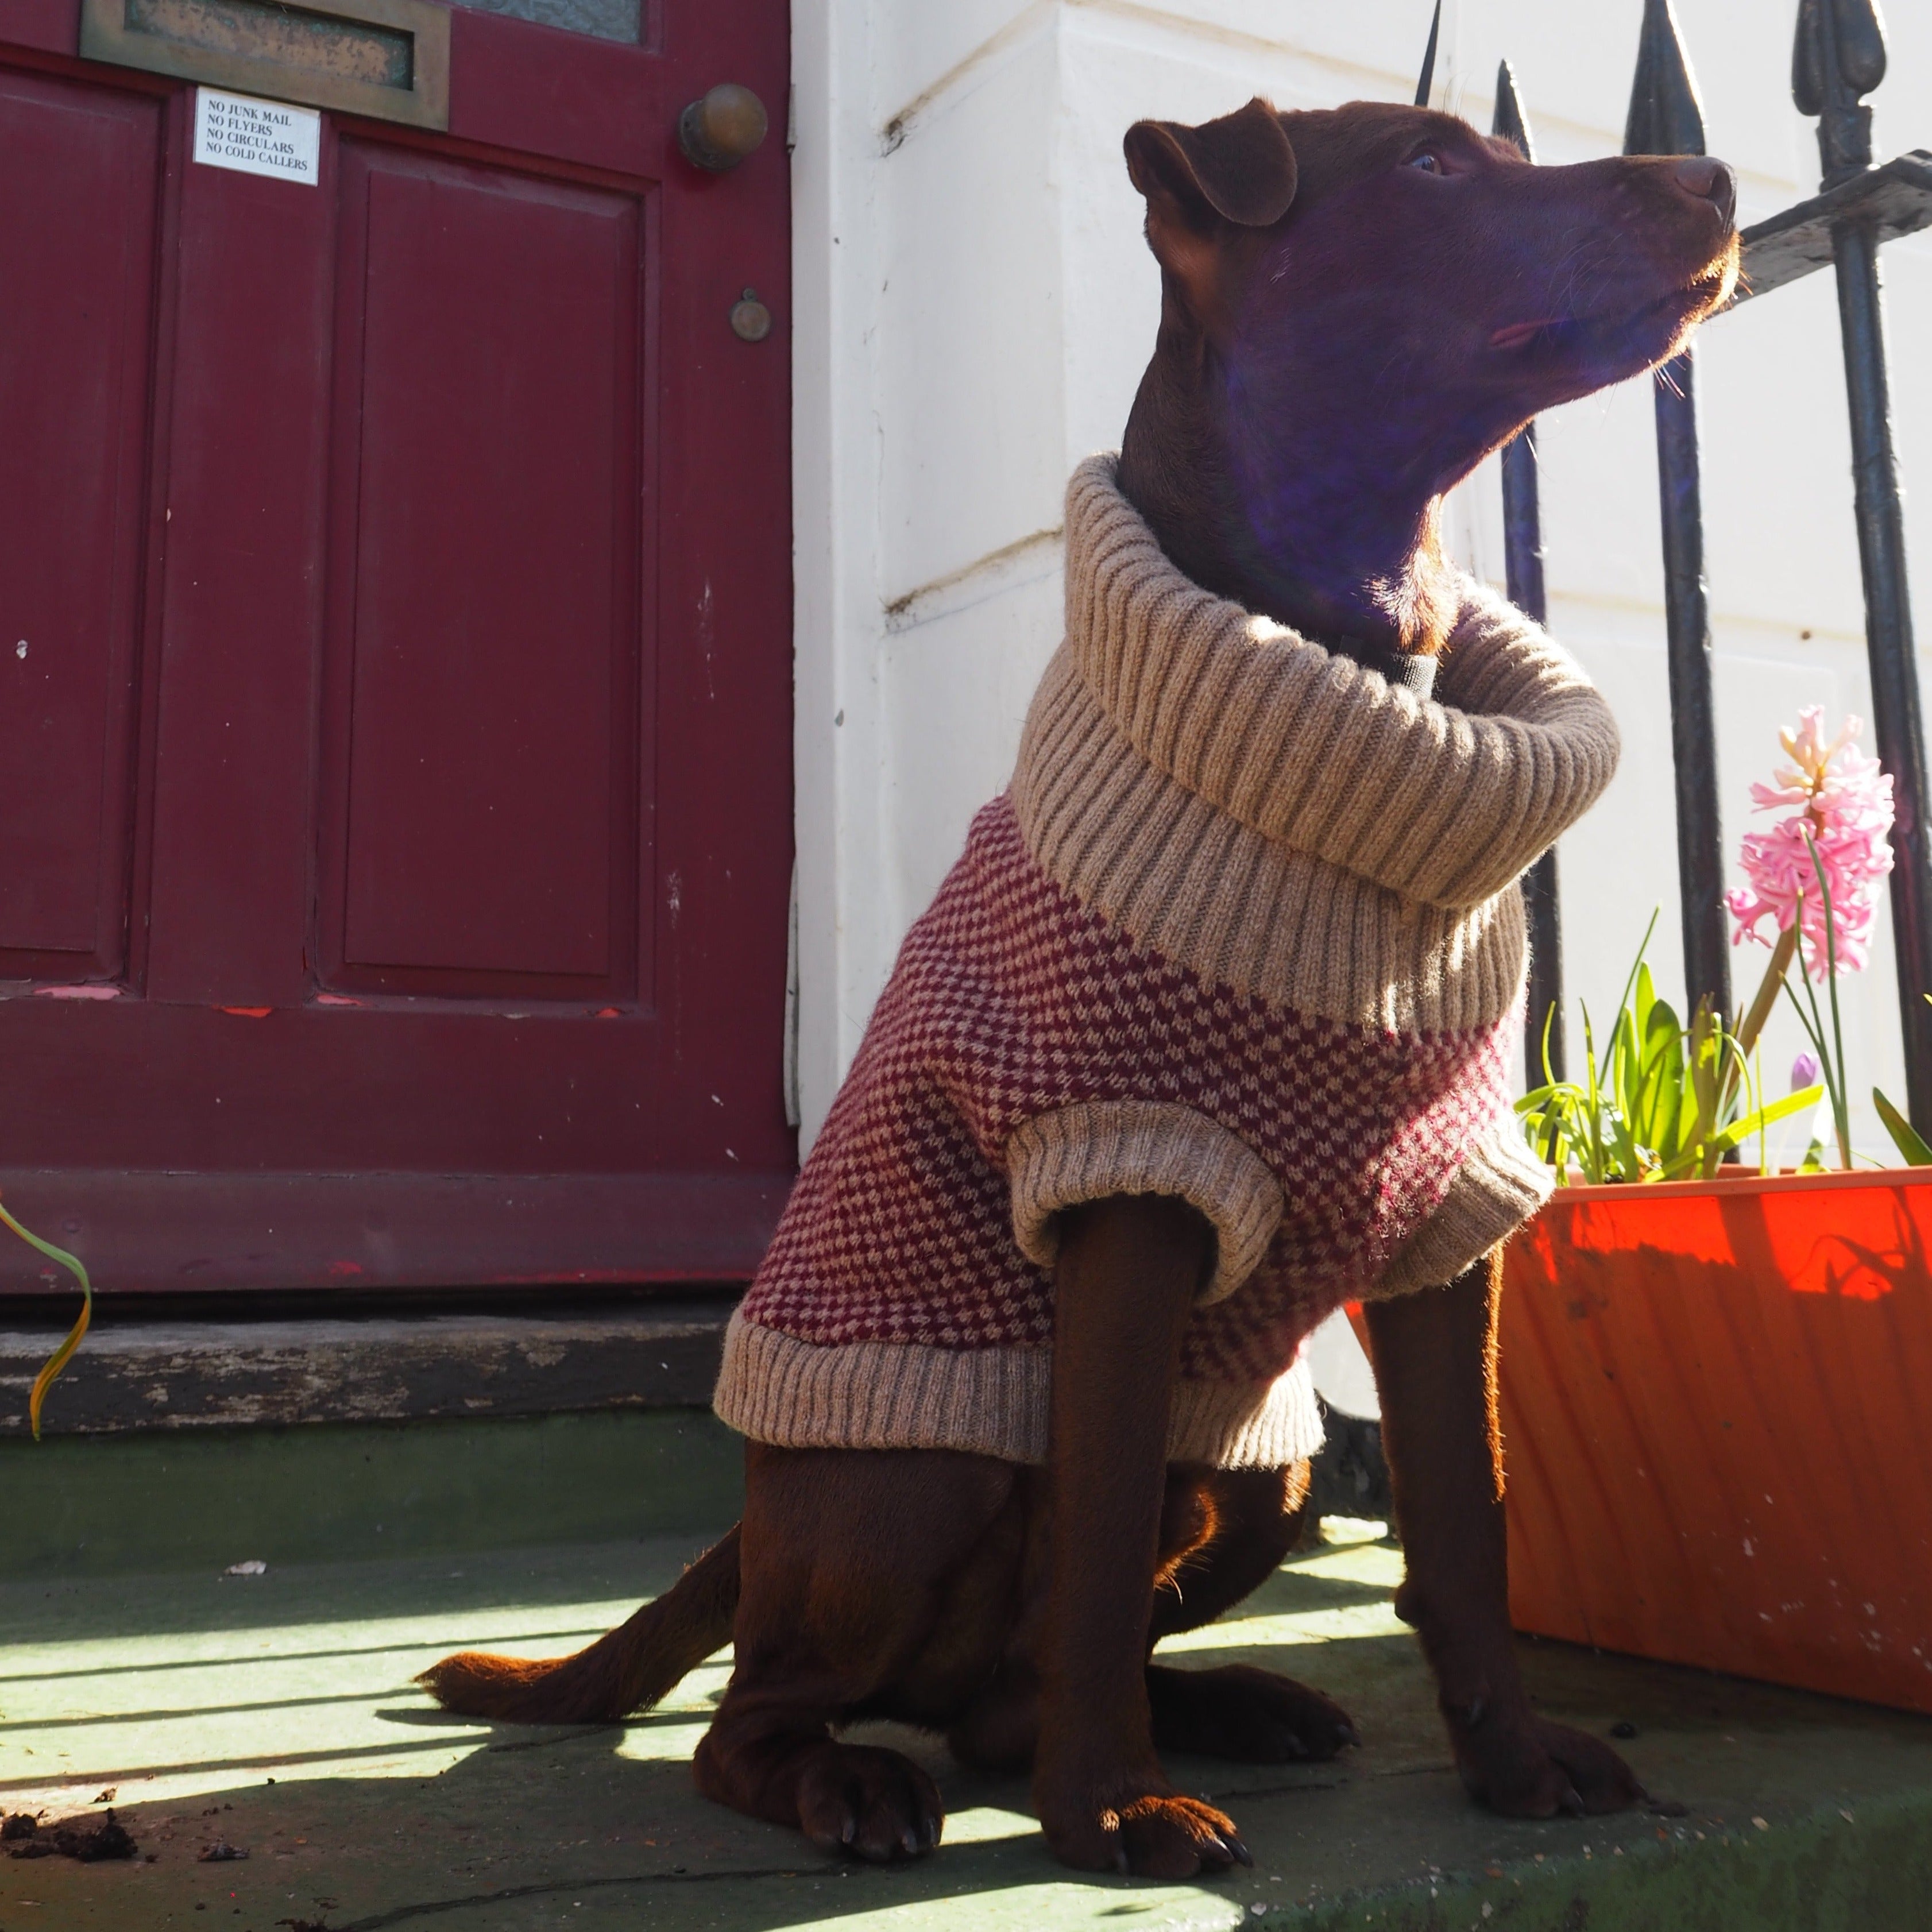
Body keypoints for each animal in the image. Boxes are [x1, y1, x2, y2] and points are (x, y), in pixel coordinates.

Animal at [419, 98, 1738, 1877]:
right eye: (1429, 167)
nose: (1714, 177)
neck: (1343, 676)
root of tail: (755, 1513)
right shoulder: (1129, 1175)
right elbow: (1106, 1530)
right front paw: (1106, 1805)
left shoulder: (1445, 1224)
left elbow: (1469, 1527)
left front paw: (1511, 1761)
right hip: (916, 1470)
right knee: (768, 1711)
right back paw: (866, 1776)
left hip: (1267, 1467)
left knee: (996, 1695)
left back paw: (1226, 1703)